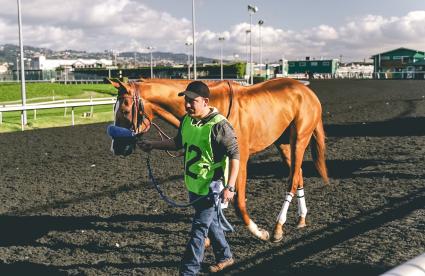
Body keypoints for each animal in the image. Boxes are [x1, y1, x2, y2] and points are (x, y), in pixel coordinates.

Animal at [107, 77, 328, 242]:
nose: (115, 147)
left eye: (125, 110)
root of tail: (306, 91)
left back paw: (277, 227)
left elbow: (237, 201)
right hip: (282, 143)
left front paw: (258, 232)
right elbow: (214, 201)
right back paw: (301, 218)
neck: (212, 107)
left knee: (292, 179)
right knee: (298, 174)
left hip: (300, 139)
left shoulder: (240, 158)